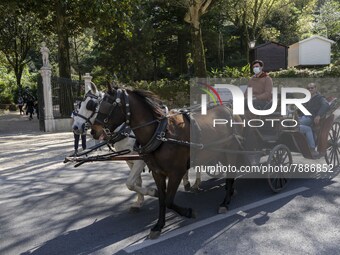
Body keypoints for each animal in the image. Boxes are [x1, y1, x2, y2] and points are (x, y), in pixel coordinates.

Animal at [71, 82, 199, 211]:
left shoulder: (140, 160)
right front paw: (139, 201)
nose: (76, 127)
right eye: (79, 105)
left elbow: (130, 183)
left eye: (91, 105)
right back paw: (188, 182)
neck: (126, 131)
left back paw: (196, 183)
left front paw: (153, 192)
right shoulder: (129, 160)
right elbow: (136, 182)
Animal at [91, 85, 244, 239]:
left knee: (230, 175)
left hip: (231, 151)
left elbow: (169, 201)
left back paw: (225, 202)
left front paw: (188, 212)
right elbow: (162, 200)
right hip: (221, 153)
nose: (93, 131)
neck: (161, 133)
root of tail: (230, 110)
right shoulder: (157, 173)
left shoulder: (176, 172)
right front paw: (159, 225)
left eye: (107, 105)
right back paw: (230, 192)